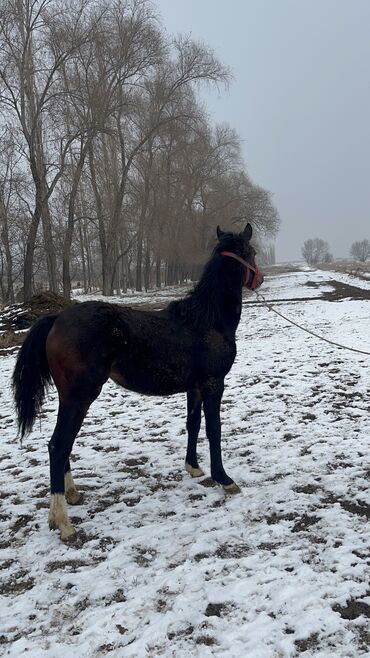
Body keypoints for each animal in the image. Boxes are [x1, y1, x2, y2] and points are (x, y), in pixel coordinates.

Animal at [12, 222, 264, 540]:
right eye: (252, 252)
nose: (260, 279)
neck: (206, 321)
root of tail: (56, 317)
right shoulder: (213, 385)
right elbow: (214, 430)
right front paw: (224, 478)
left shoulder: (194, 388)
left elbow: (193, 425)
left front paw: (193, 468)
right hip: (80, 397)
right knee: (58, 446)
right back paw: (63, 522)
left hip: (69, 398)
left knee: (62, 445)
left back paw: (72, 495)